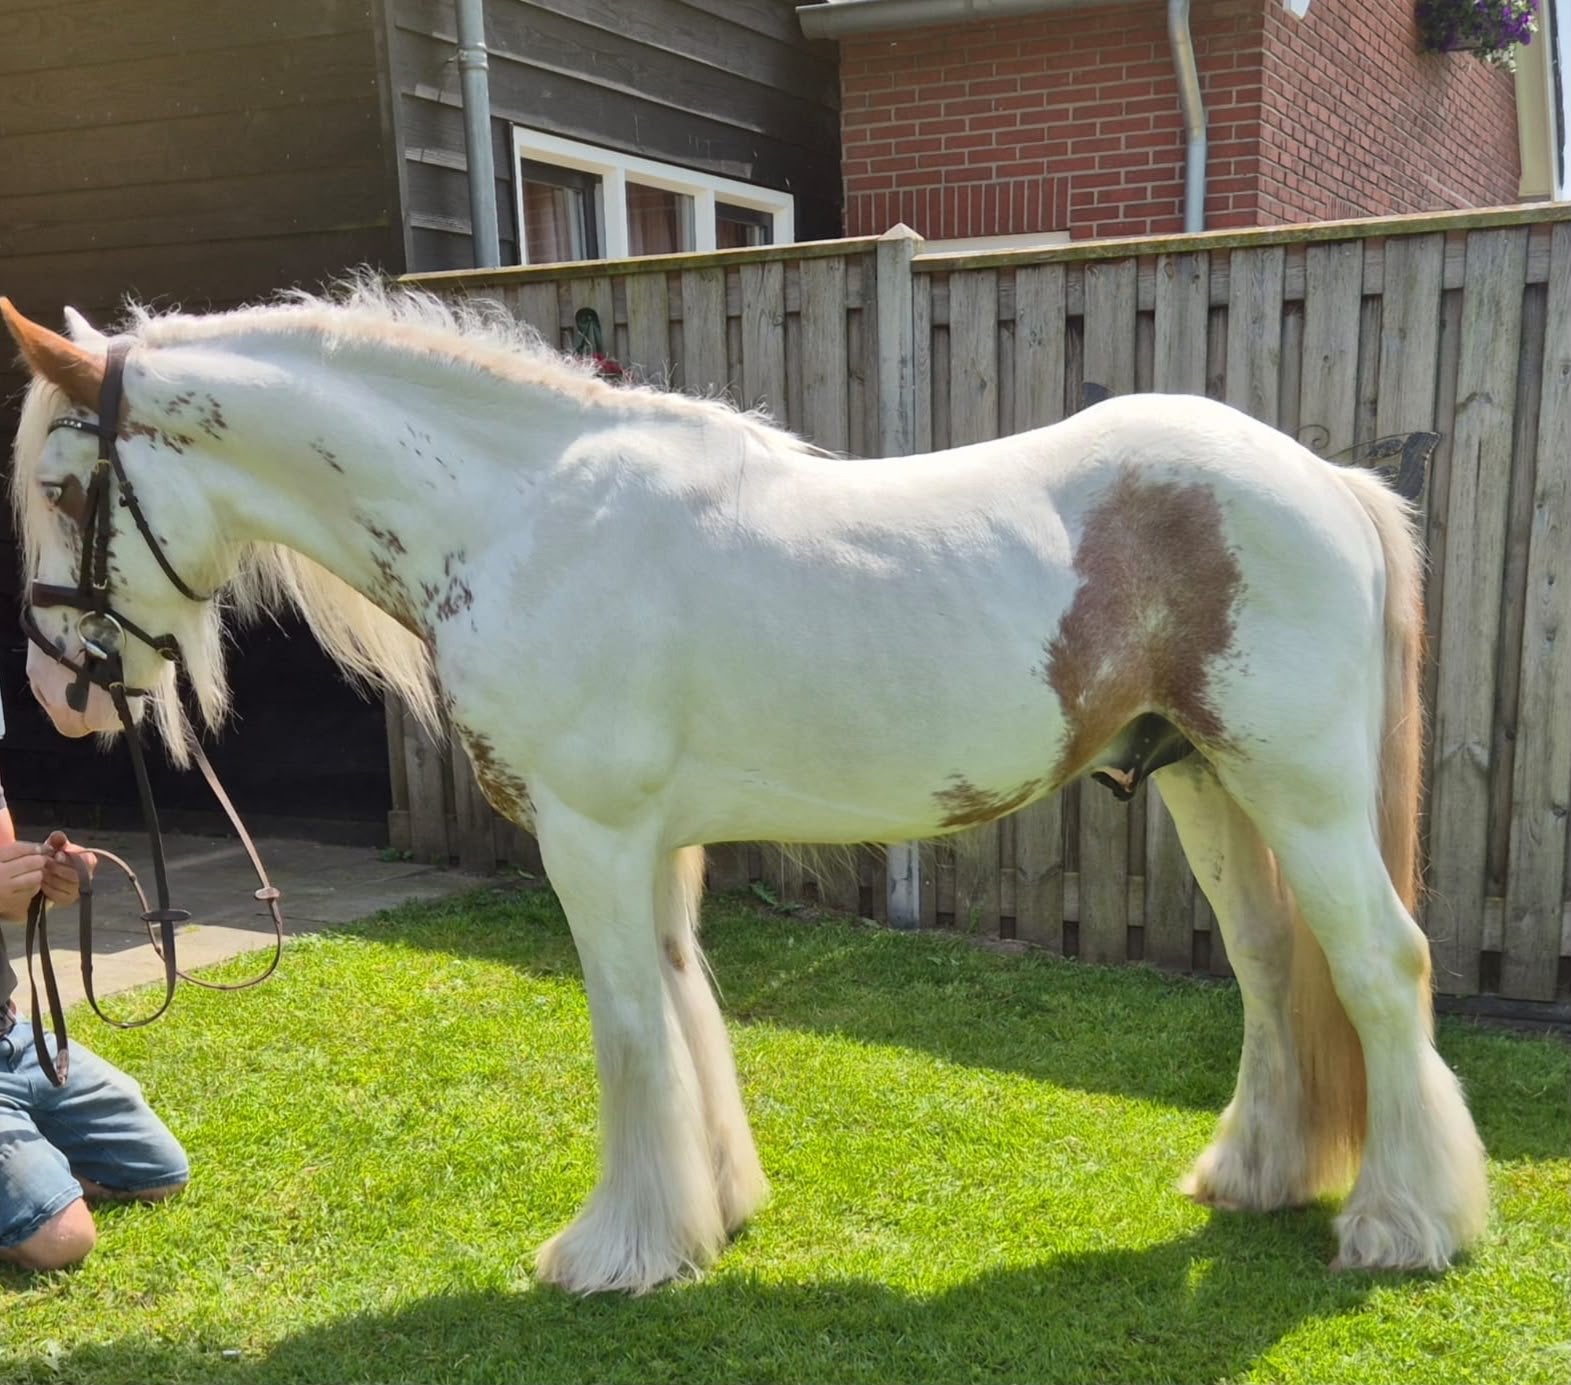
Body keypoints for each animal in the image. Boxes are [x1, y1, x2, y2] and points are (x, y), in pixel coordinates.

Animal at [0, 286, 1487, 1292]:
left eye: (65, 482)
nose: (61, 694)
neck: (522, 514)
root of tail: (1320, 478)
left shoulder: (591, 841)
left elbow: (626, 1032)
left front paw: (615, 1249)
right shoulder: (654, 848)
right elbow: (682, 1012)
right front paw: (703, 1214)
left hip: (1293, 786)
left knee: (1378, 964)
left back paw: (1403, 1226)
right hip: (1205, 785)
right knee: (1268, 965)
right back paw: (1255, 1175)